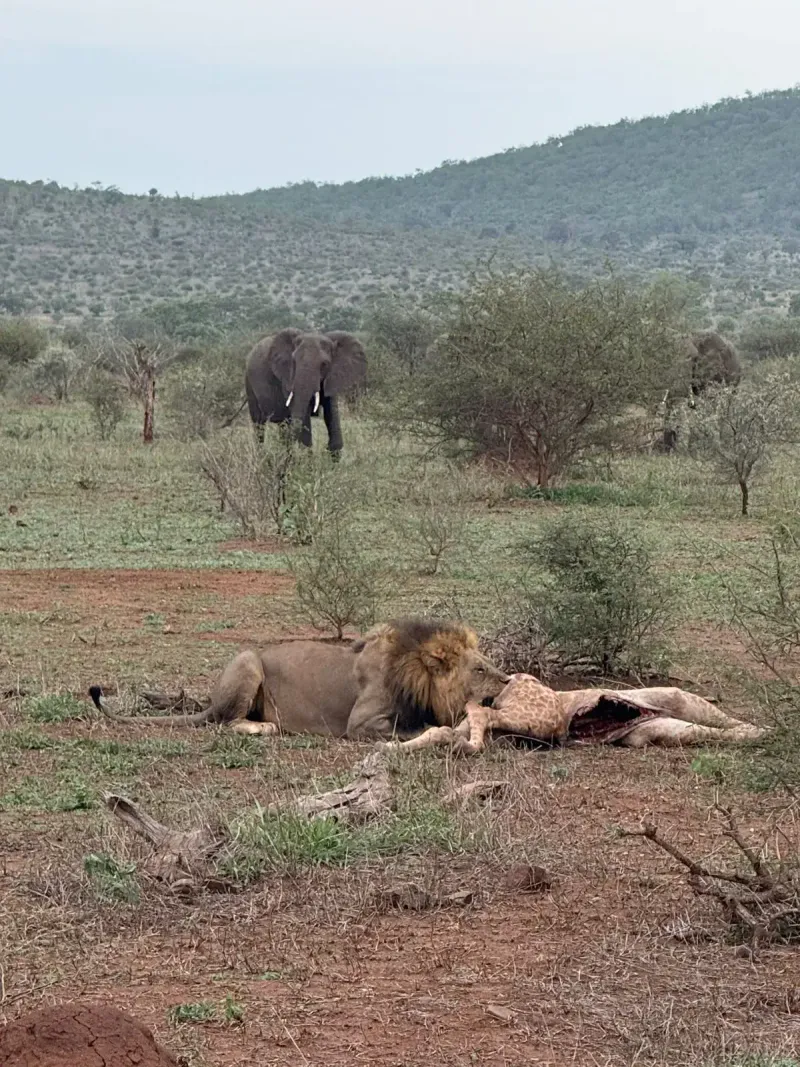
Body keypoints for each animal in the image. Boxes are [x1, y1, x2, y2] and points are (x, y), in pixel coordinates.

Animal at [89, 618, 510, 741]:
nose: (508, 681)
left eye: (488, 663)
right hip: (248, 661)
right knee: (226, 722)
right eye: (479, 669)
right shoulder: (361, 724)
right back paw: (264, 727)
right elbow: (408, 728)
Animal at [245, 329, 367, 457]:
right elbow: (304, 415)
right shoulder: (287, 378)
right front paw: (307, 459)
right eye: (294, 362)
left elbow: (331, 412)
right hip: (249, 382)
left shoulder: (332, 377)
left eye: (324, 364)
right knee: (259, 425)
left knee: (282, 426)